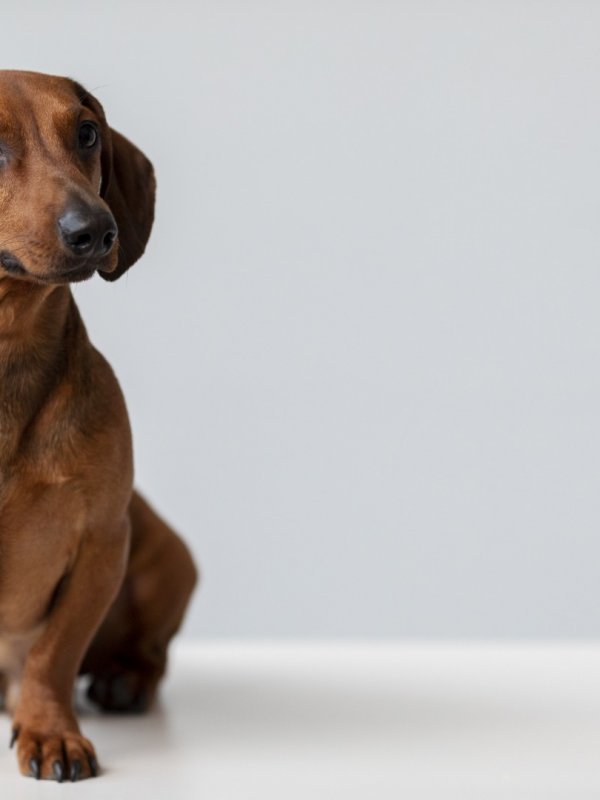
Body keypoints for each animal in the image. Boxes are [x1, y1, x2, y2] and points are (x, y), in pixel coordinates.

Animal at [0, 70, 198, 781]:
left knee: (152, 655)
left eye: (86, 132)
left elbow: (53, 655)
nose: (97, 230)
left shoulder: (102, 543)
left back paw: (125, 681)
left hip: (168, 555)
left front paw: (50, 731)